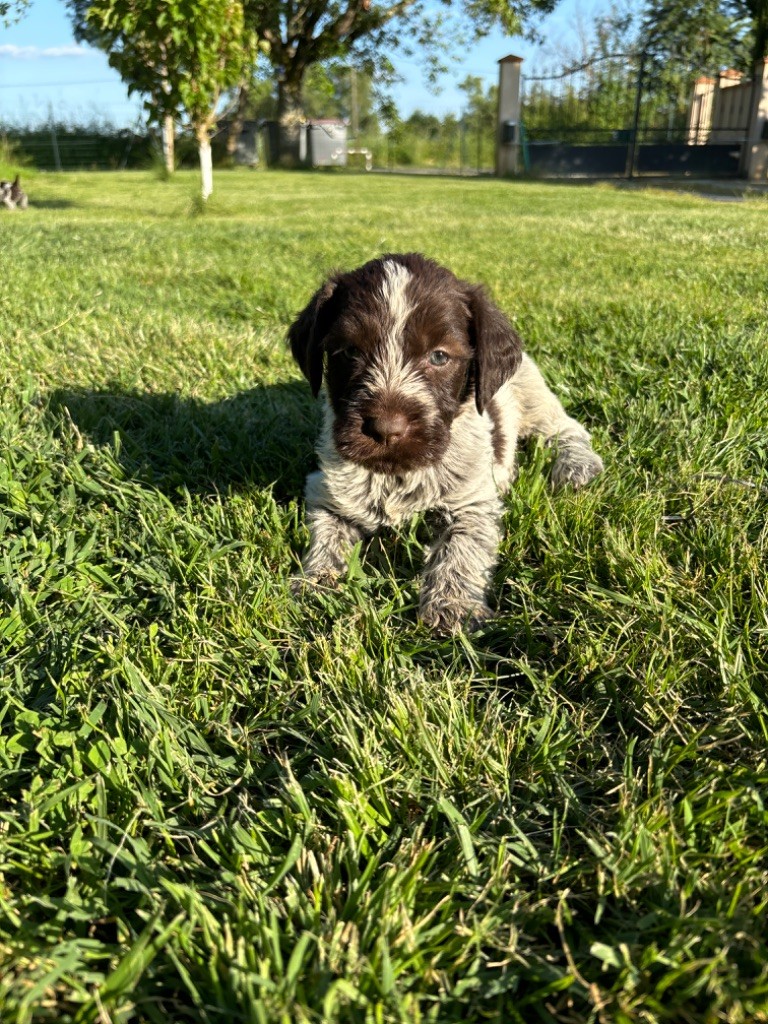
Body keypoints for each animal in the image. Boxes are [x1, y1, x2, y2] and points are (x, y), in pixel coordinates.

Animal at [290, 251, 606, 630]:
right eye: (350, 352)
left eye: (439, 356)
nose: (385, 429)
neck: (398, 473)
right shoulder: (326, 491)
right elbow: (327, 537)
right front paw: (315, 583)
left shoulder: (472, 502)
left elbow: (461, 549)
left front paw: (452, 605)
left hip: (533, 395)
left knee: (565, 428)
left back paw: (576, 464)